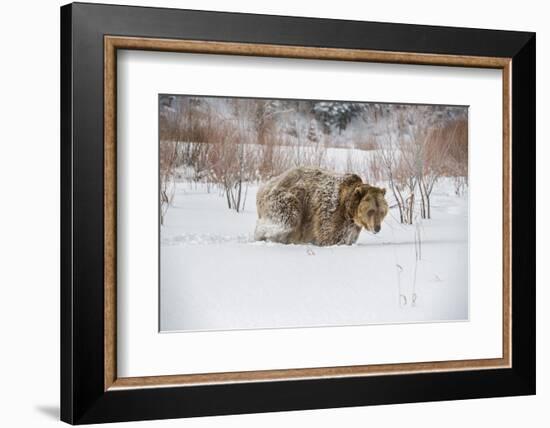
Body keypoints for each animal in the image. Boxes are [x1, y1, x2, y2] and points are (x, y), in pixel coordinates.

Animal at [254, 168, 388, 247]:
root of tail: (264, 186)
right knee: (287, 219)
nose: (377, 228)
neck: (349, 211)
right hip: (285, 199)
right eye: (370, 211)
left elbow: (349, 238)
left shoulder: (352, 226)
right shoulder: (331, 212)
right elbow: (330, 237)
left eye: (382, 212)